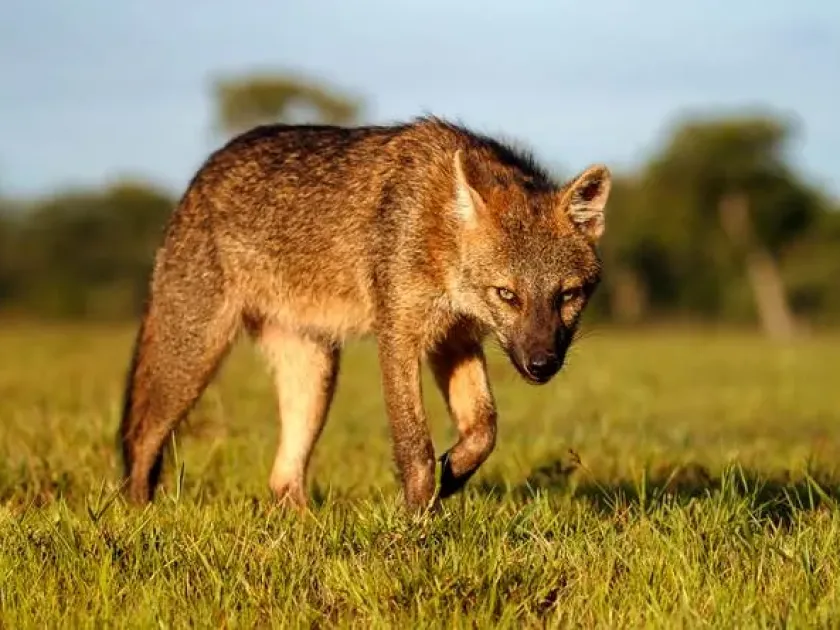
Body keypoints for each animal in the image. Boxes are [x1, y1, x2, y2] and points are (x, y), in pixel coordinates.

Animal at [119, 116, 612, 512]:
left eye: (567, 296)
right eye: (507, 295)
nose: (542, 364)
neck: (437, 223)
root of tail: (199, 177)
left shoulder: (454, 338)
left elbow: (483, 429)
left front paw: (452, 475)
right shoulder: (399, 336)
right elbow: (415, 449)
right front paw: (417, 528)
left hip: (315, 375)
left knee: (282, 480)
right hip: (194, 360)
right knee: (141, 440)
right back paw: (142, 518)